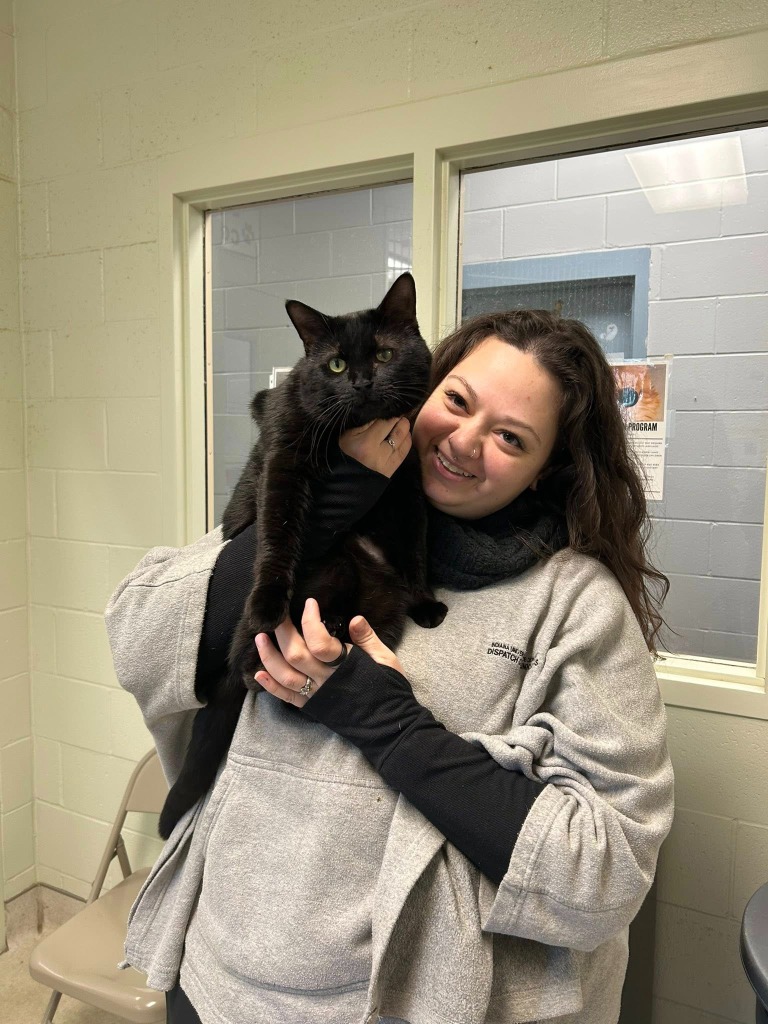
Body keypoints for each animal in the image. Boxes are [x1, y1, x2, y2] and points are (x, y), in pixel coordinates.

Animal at [158, 272, 447, 839]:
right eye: (334, 364)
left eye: (383, 354)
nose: (360, 382)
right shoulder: (285, 464)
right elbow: (279, 535)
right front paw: (269, 600)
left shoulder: (407, 484)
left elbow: (416, 546)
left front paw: (426, 601)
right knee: (251, 667)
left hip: (375, 604)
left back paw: (337, 630)